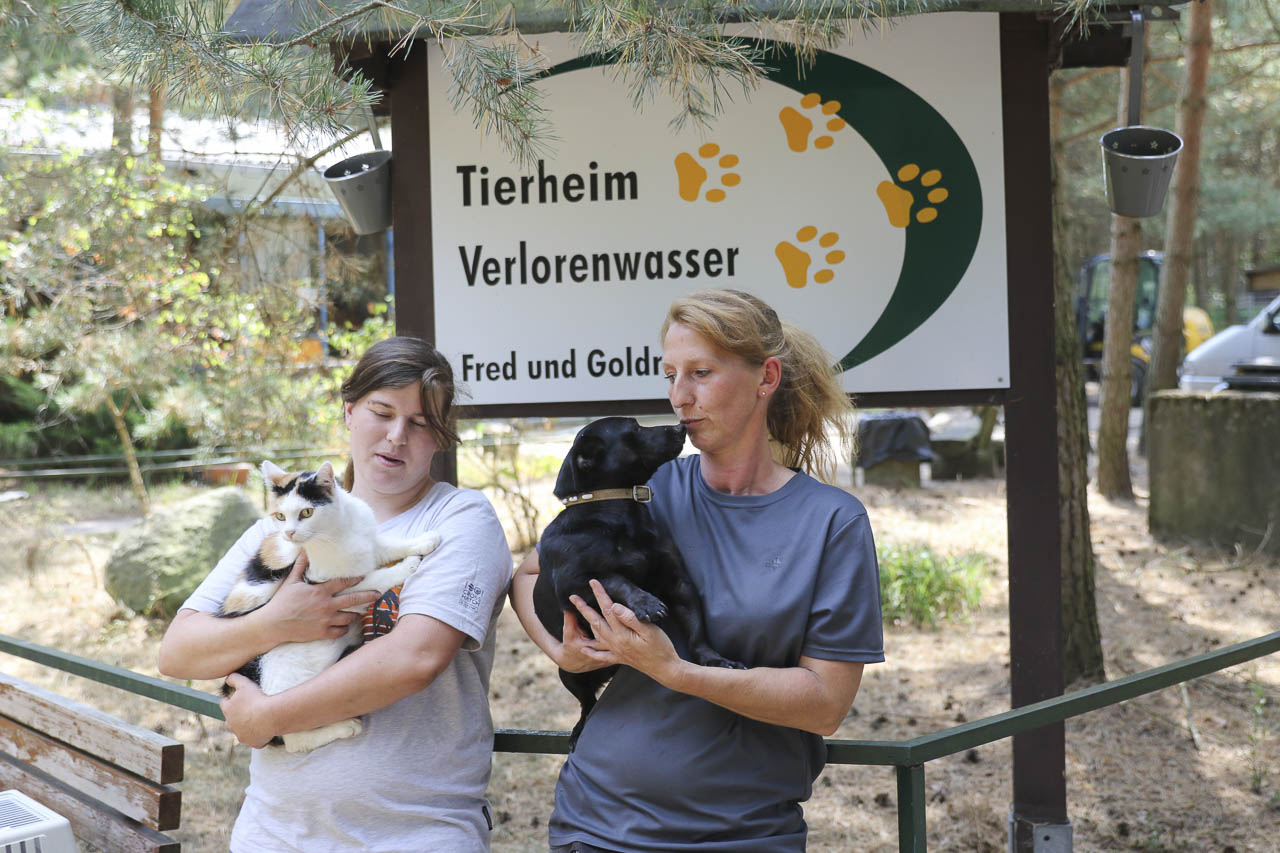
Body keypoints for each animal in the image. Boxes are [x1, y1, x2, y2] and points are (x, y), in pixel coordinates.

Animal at [217, 459, 441, 753]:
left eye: (307, 512)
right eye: (280, 516)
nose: (289, 533)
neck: (338, 531)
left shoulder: (371, 545)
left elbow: (390, 545)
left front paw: (423, 541)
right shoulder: (328, 586)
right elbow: (376, 578)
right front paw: (408, 565)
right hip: (278, 669)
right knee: (290, 733)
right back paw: (343, 727)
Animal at [533, 416, 744, 747]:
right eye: (633, 429)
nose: (681, 426)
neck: (619, 513)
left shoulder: (678, 583)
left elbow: (697, 634)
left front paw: (716, 660)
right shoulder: (572, 587)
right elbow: (615, 579)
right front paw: (645, 602)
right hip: (568, 671)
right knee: (587, 703)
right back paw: (579, 728)